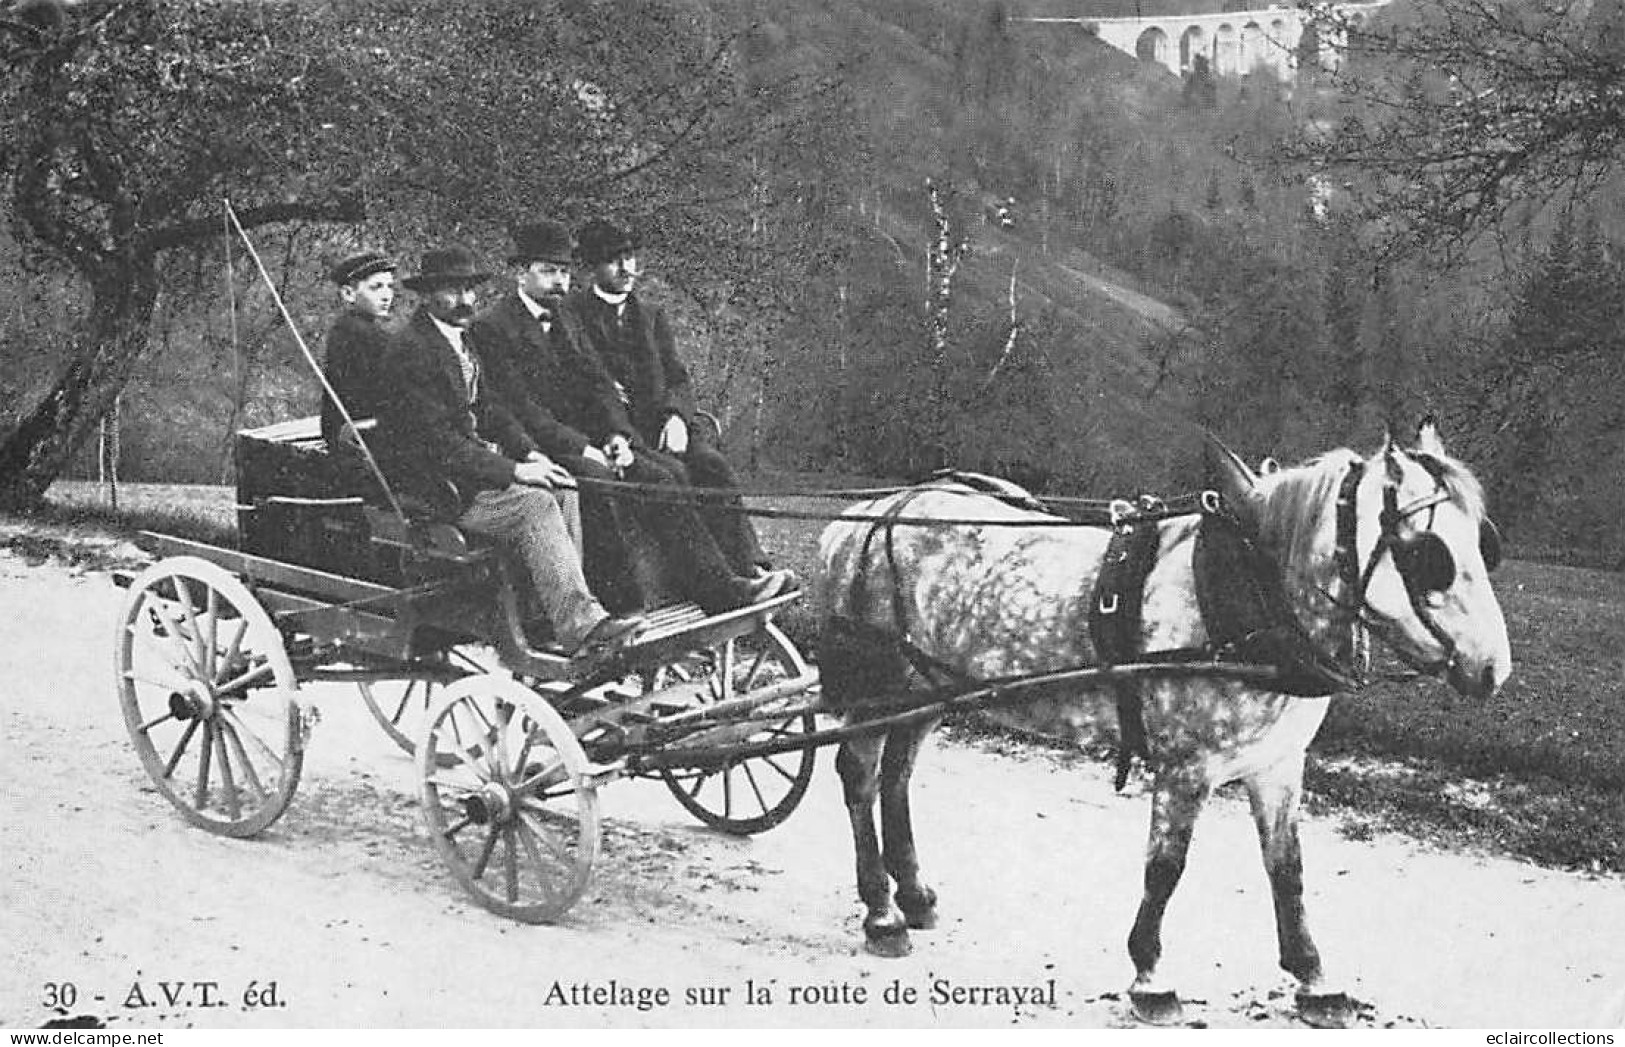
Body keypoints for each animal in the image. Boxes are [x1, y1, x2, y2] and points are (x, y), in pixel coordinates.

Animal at [819, 422, 1514, 1027]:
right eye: (1428, 554)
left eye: (1486, 545)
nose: (1492, 668)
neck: (1254, 596)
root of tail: (867, 515)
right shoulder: (1186, 767)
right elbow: (1166, 868)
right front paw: (1150, 975)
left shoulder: (1277, 766)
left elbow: (1287, 869)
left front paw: (1314, 978)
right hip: (878, 687)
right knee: (859, 775)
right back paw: (880, 912)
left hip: (926, 687)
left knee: (897, 776)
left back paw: (912, 894)